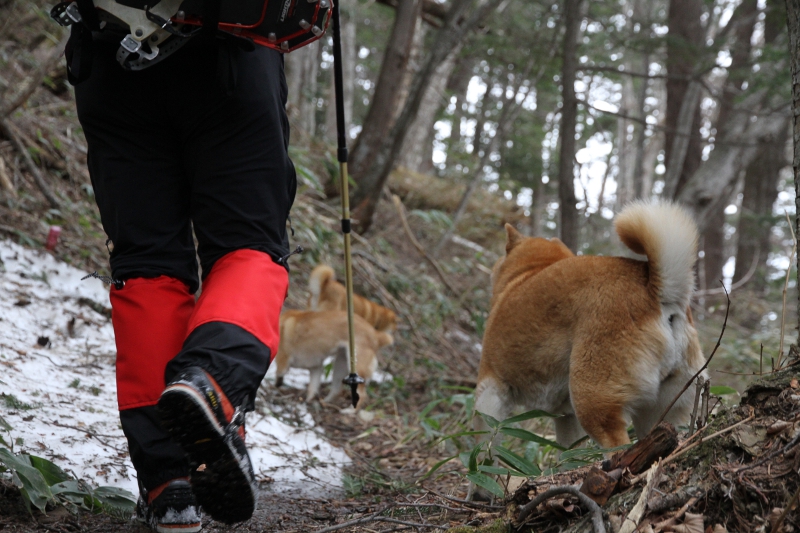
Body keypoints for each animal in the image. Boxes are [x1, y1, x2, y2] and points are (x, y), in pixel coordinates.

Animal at [476, 203, 708, 448]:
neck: (527, 273)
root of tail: (654, 291)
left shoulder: (489, 390)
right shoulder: (566, 415)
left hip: (592, 403)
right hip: (660, 411)